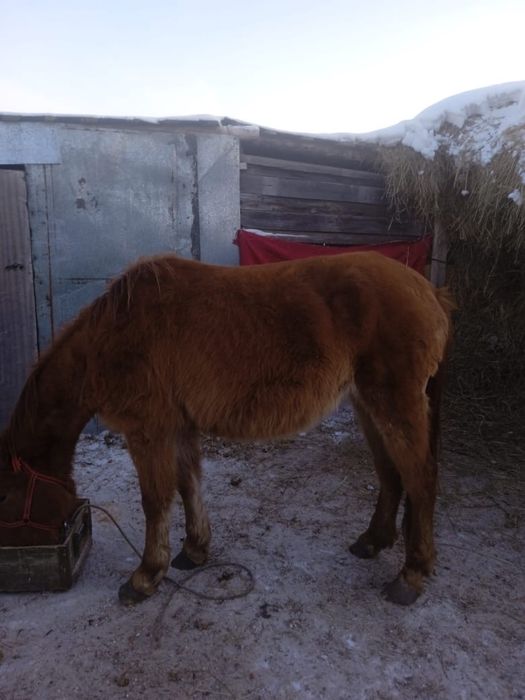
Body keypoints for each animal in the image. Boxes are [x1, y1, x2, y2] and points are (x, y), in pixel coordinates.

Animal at [0, 251, 454, 606]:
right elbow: (188, 485)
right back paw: (373, 541)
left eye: (5, 497)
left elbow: (155, 500)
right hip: (366, 405)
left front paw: (146, 576)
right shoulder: (178, 428)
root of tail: (430, 292)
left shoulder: (148, 432)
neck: (112, 335)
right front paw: (194, 550)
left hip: (394, 403)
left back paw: (411, 575)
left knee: (421, 477)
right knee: (390, 473)